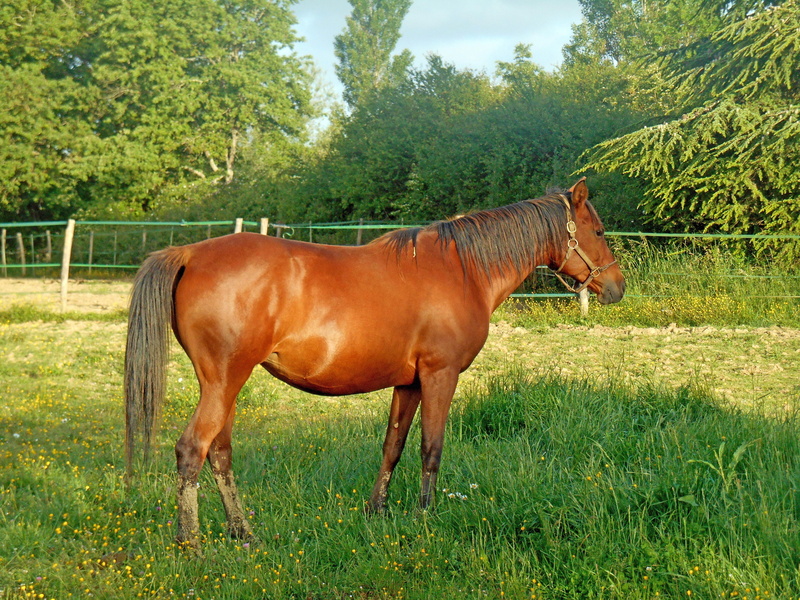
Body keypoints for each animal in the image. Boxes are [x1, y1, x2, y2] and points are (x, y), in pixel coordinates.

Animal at [124, 178, 625, 547]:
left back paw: (244, 533)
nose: (618, 287)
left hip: (224, 384)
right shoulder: (440, 376)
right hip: (225, 381)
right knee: (192, 449)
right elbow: (431, 448)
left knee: (219, 452)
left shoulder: (409, 383)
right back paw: (191, 543)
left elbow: (393, 446)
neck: (462, 269)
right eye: (599, 232)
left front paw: (377, 511)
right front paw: (425, 516)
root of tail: (189, 253)